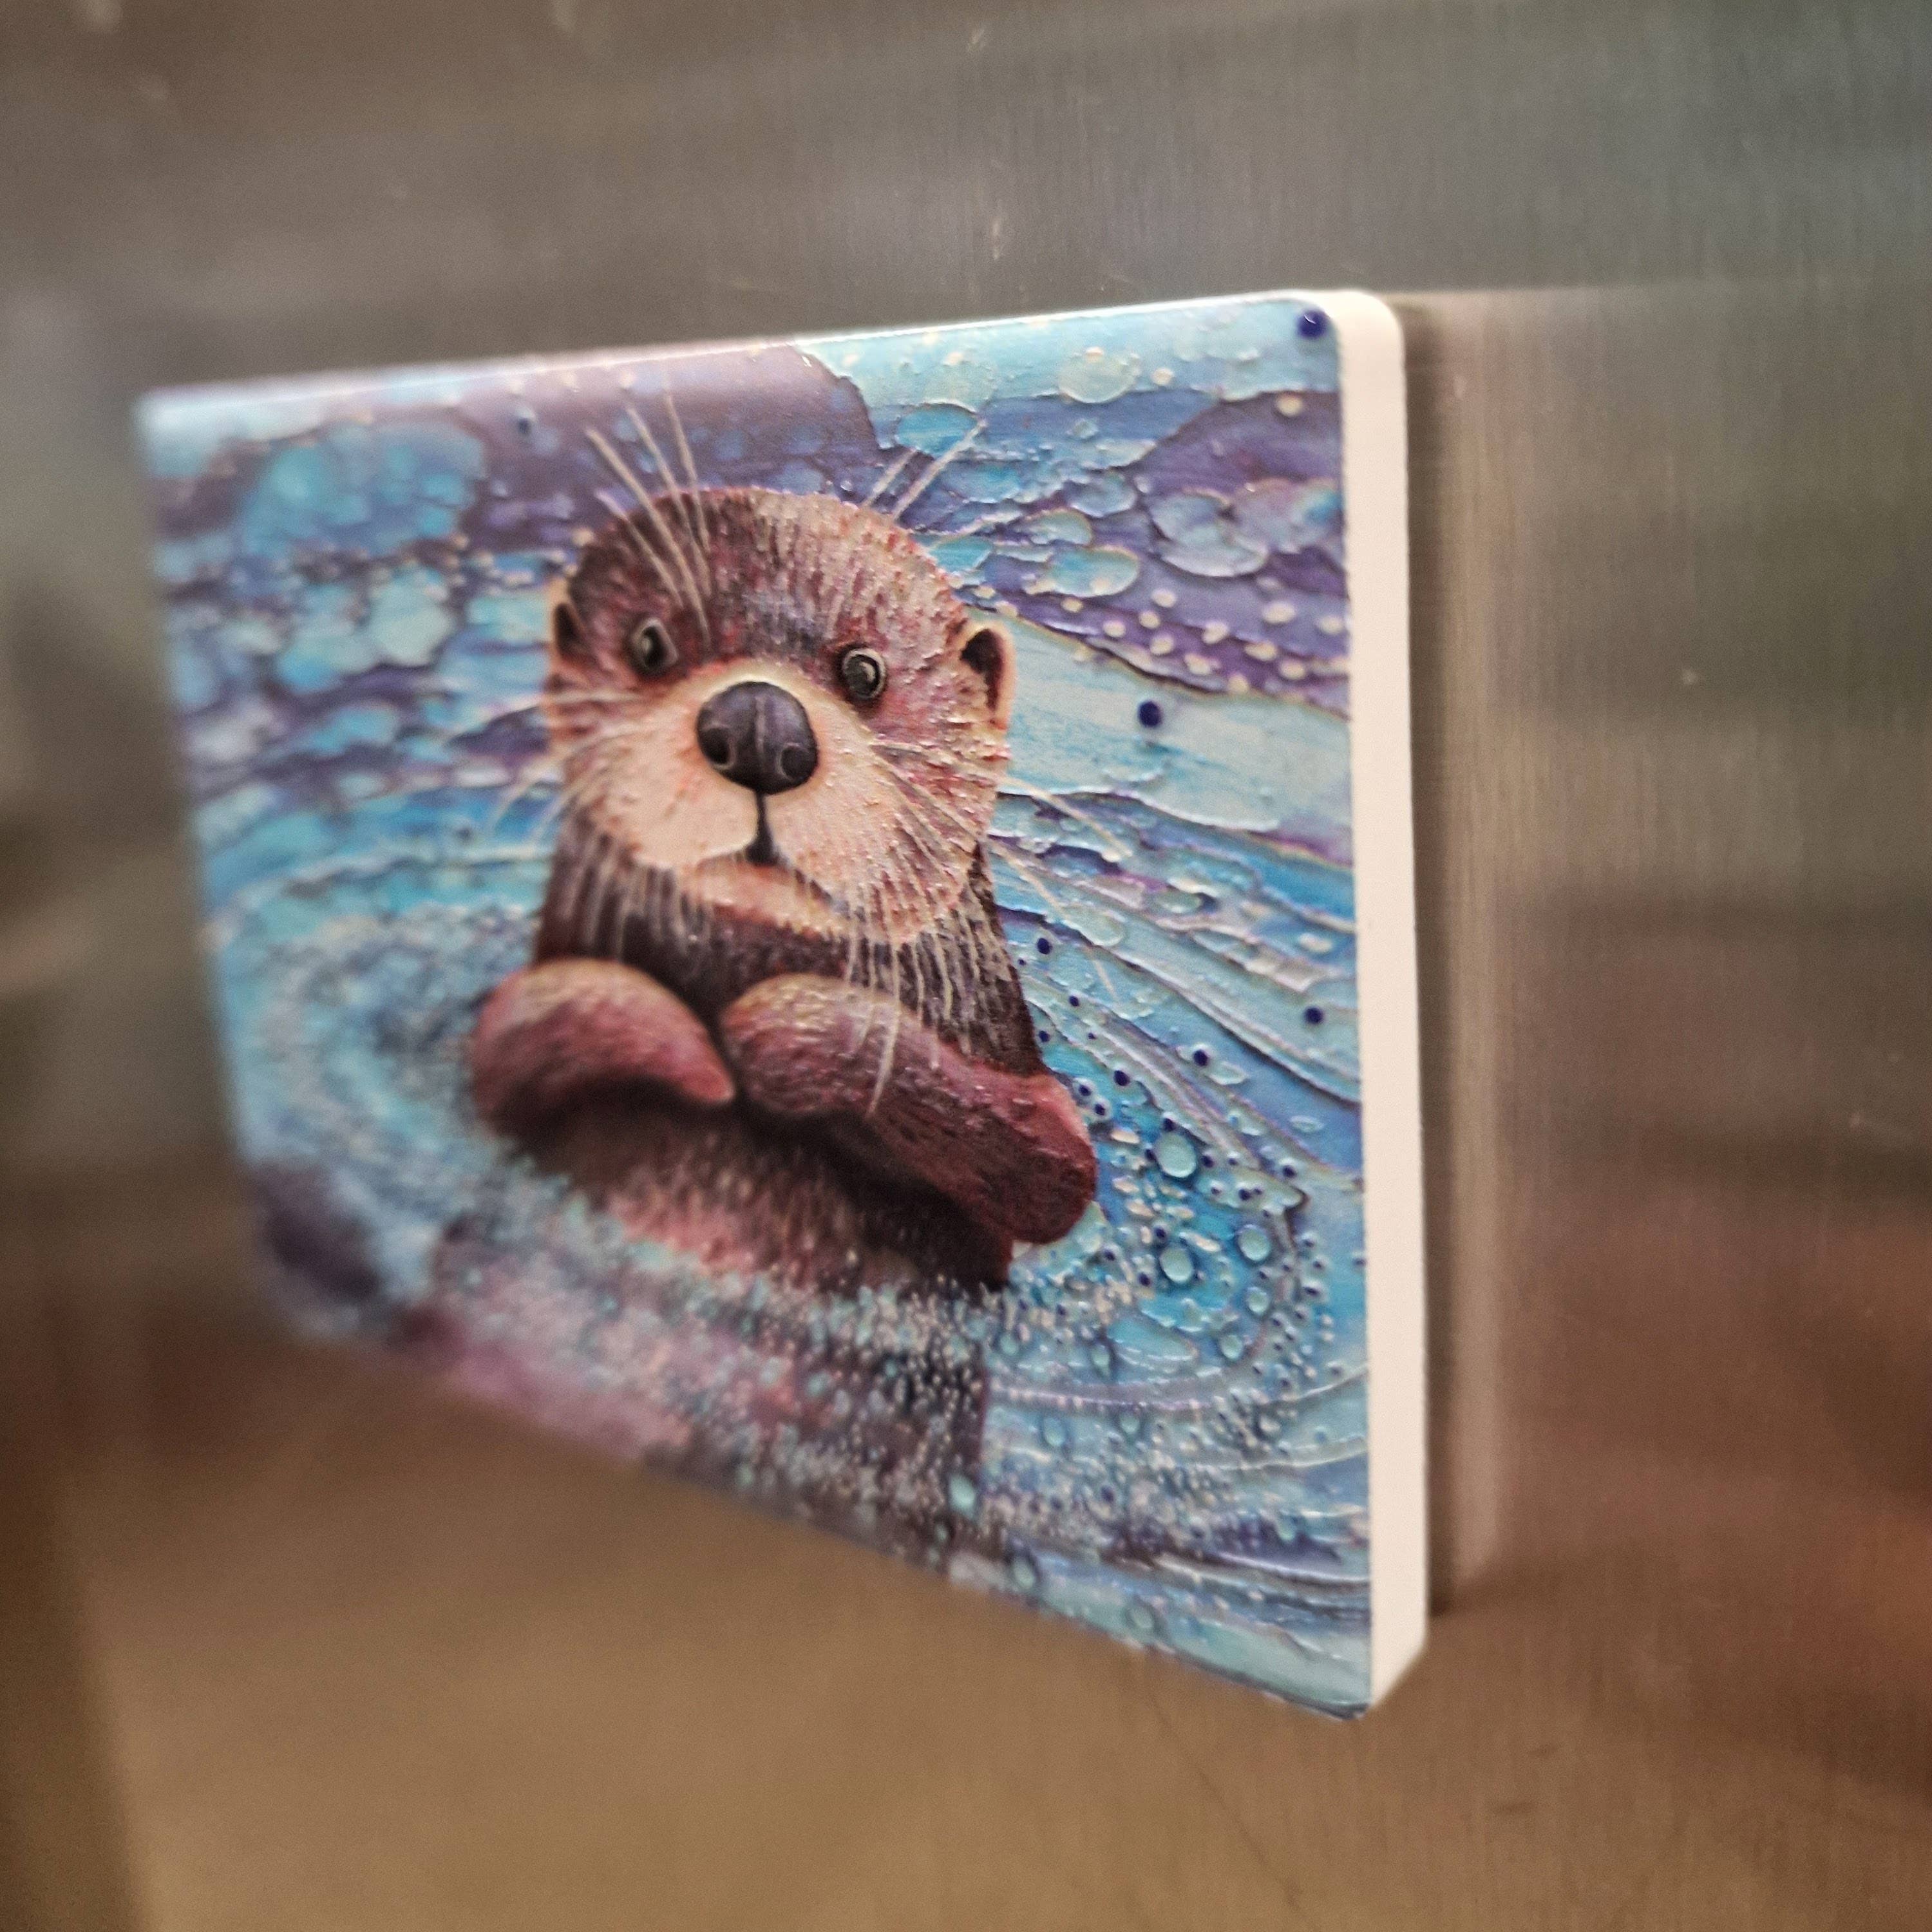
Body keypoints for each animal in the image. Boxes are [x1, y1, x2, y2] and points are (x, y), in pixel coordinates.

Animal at [469, 483, 1097, 1297]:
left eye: (864, 671)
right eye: (651, 645)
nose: (760, 724)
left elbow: (1050, 1162)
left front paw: (776, 1033)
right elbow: (506, 1043)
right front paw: (688, 1046)